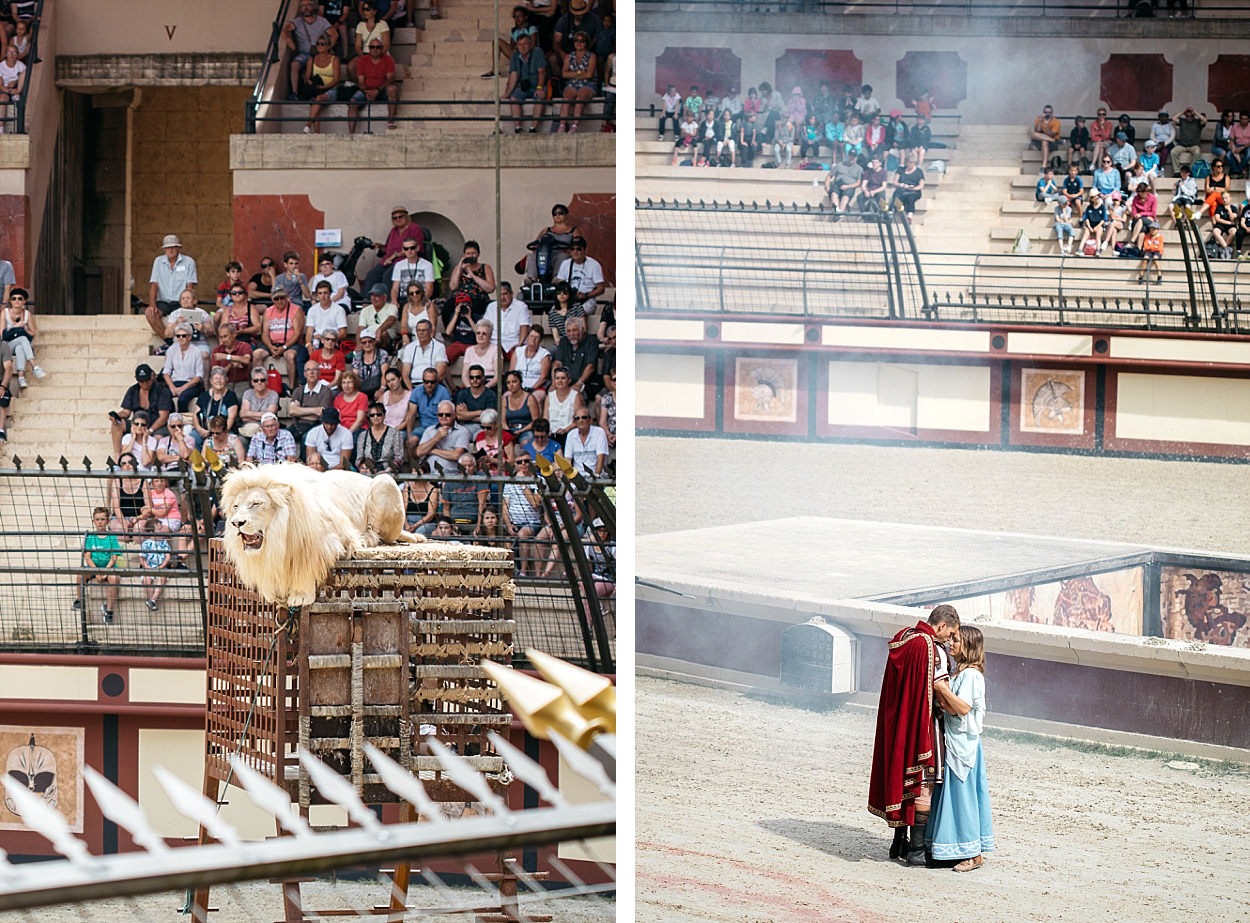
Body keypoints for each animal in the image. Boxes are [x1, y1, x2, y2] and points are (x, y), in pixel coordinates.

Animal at [220, 460, 425, 605]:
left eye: (256, 504)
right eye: (236, 506)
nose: (236, 523)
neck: (278, 535)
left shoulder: (327, 540)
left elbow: (307, 567)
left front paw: (300, 595)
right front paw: (274, 593)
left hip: (385, 481)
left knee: (382, 535)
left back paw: (366, 538)